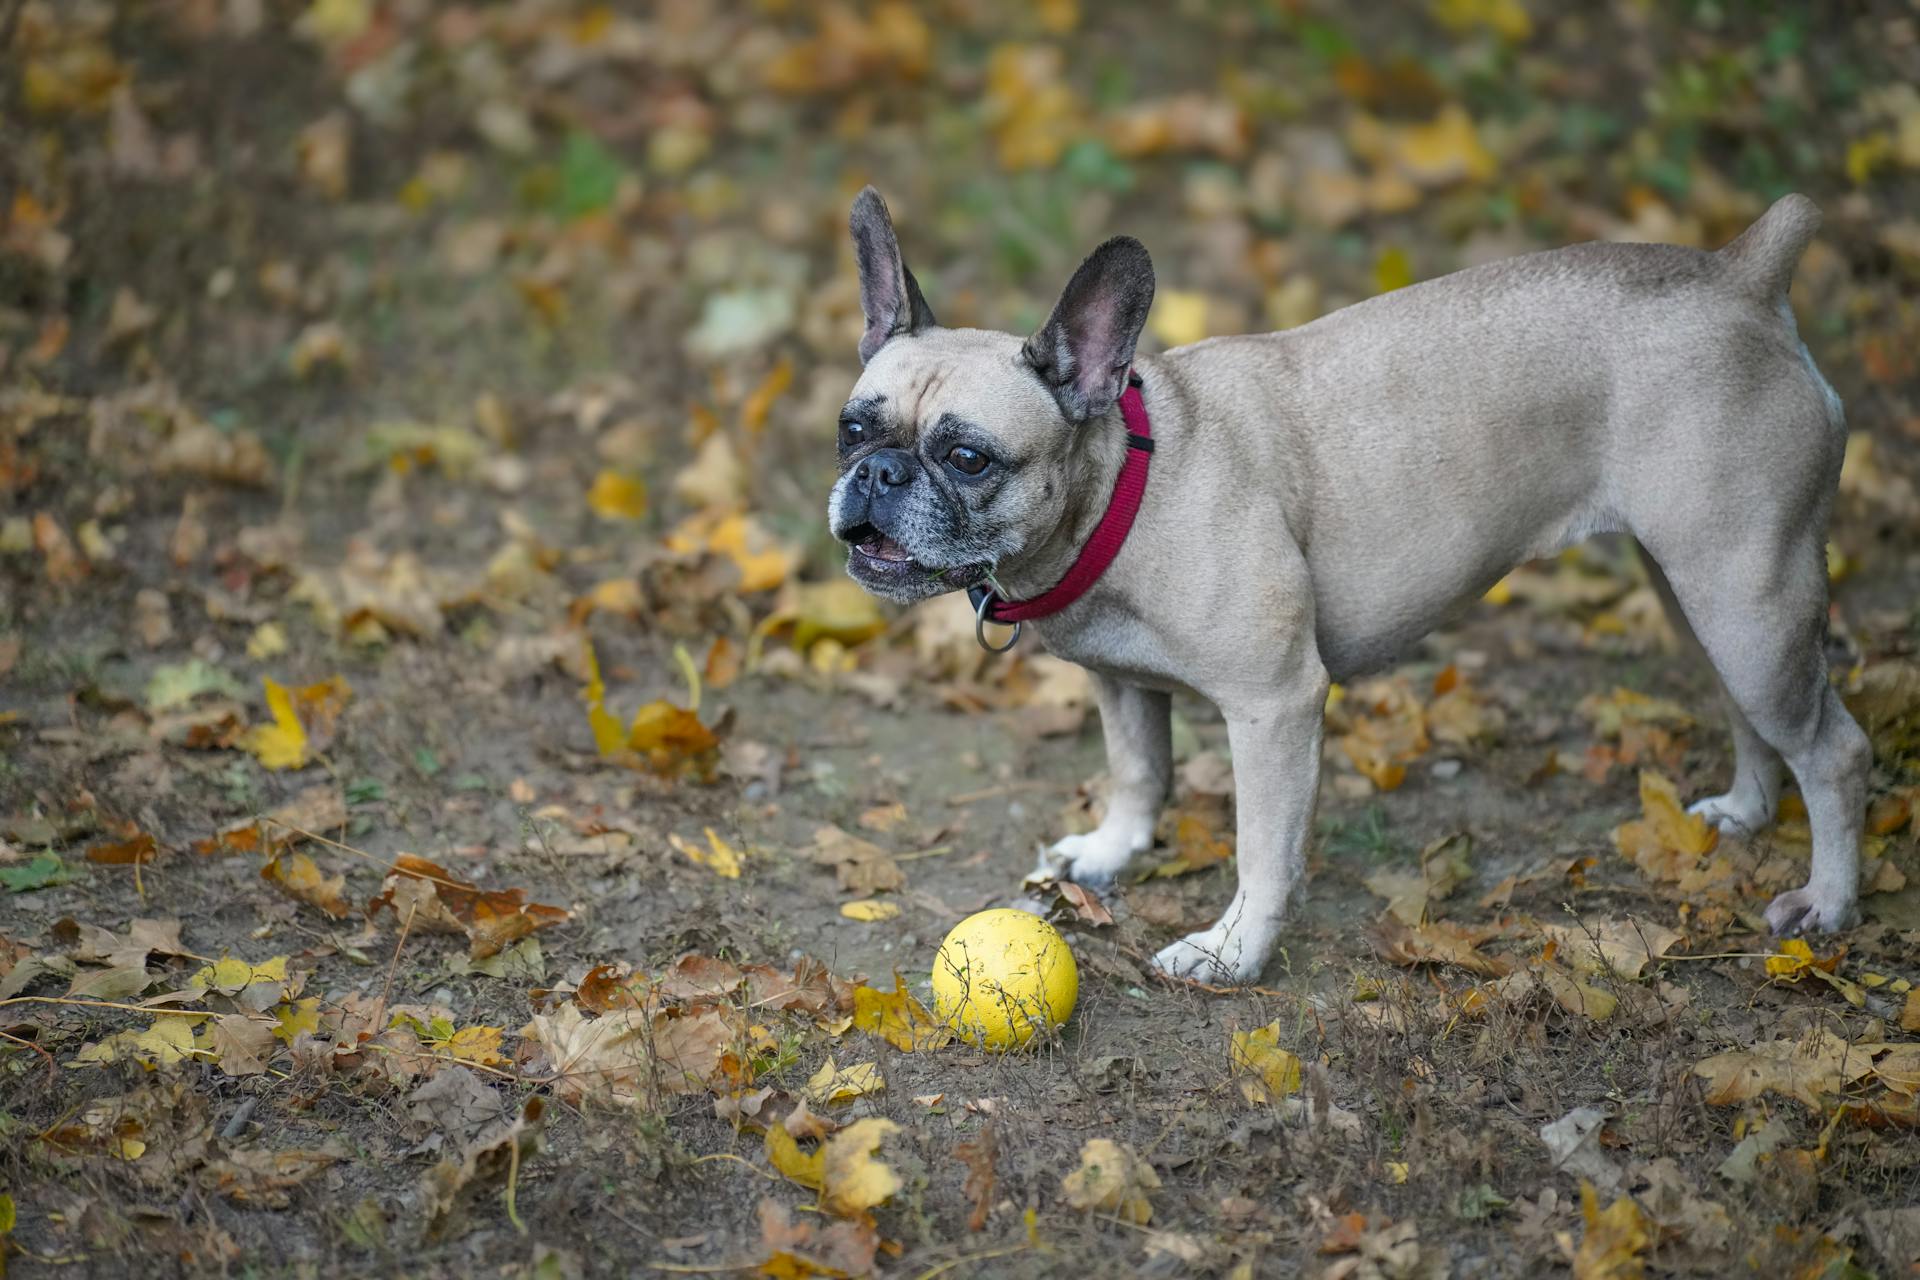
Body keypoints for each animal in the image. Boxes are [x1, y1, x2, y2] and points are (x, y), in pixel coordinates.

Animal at [821, 189, 1858, 990]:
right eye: (851, 428)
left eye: (967, 457)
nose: (878, 474)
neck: (1126, 482)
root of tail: (1743, 279)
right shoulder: (1120, 683)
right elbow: (1139, 770)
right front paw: (1113, 853)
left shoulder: (1274, 705)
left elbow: (1262, 848)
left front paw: (1233, 952)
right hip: (1700, 595)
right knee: (1750, 712)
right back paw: (1744, 812)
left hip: (1748, 596)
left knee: (1835, 749)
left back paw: (1827, 902)